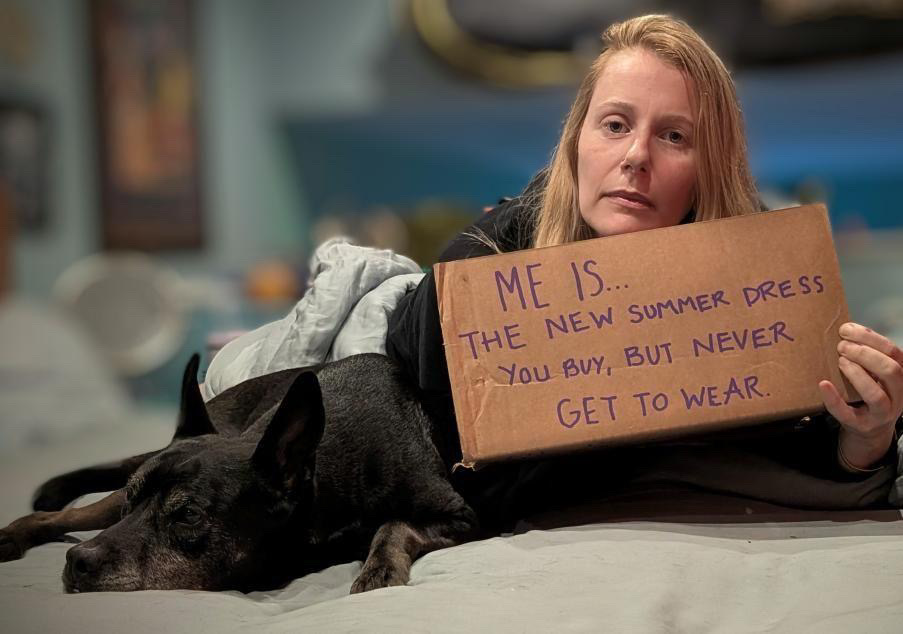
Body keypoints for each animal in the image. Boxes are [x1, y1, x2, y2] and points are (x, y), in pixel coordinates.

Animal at [0, 353, 479, 593]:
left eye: (188, 515)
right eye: (135, 503)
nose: (76, 561)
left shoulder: (459, 516)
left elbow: (393, 524)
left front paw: (378, 568)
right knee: (61, 515)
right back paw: (16, 534)